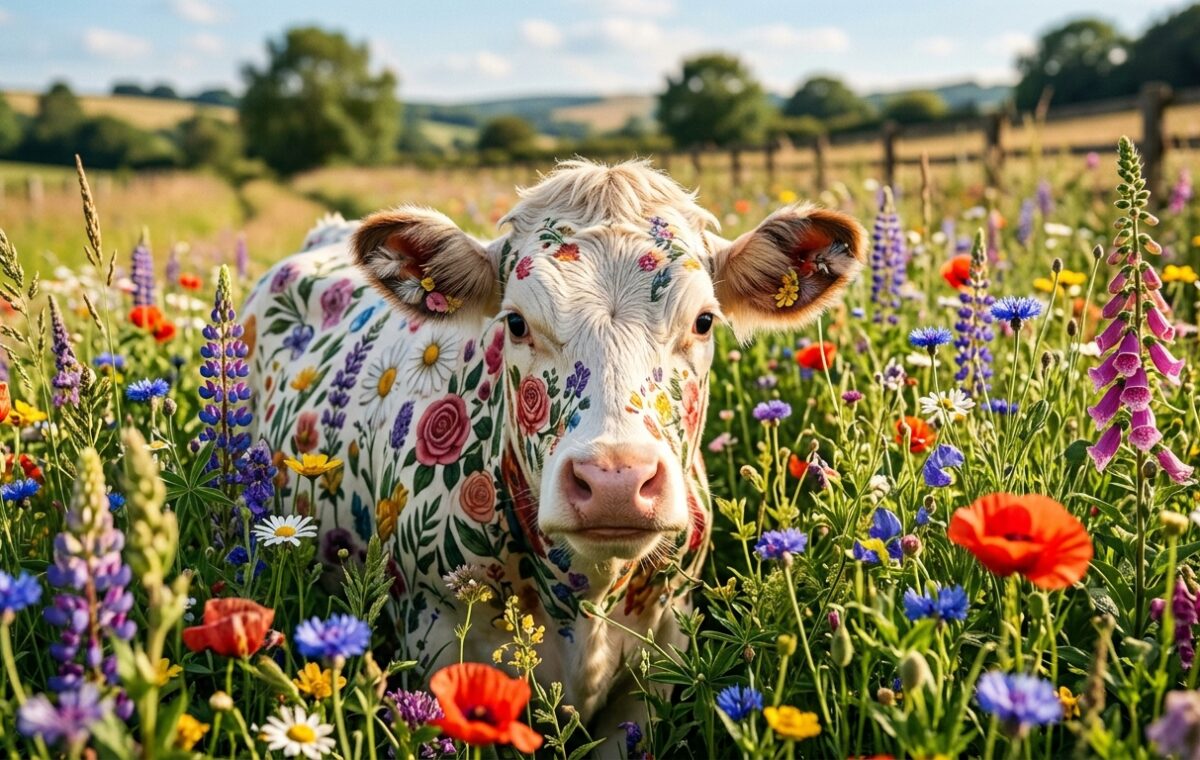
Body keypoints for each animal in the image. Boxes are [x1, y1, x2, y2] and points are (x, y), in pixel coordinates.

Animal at [241, 159, 865, 752]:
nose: (615, 481)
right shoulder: (437, 643)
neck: (585, 595)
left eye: (704, 320)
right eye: (516, 323)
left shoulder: (658, 664)